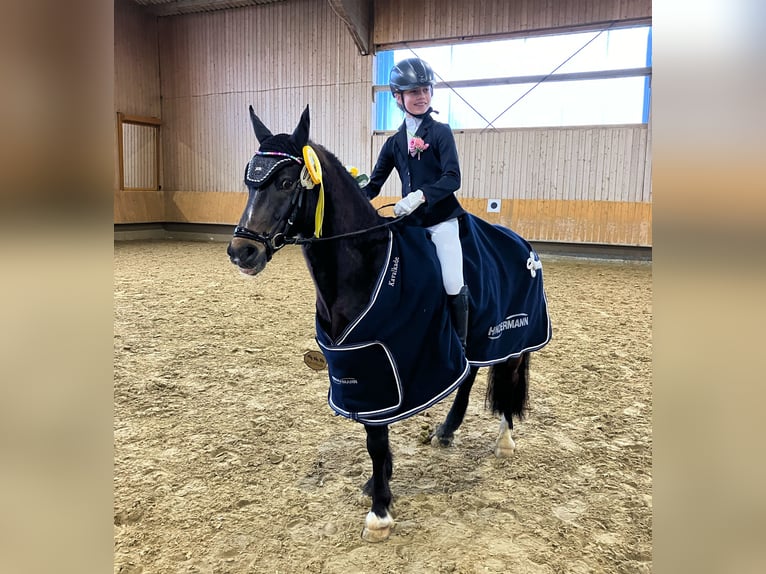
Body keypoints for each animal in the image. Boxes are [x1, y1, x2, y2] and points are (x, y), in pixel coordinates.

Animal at [227, 105, 551, 541]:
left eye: (285, 182)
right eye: (249, 182)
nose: (241, 251)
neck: (365, 264)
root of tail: (523, 244)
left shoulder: (385, 367)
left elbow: (376, 441)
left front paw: (380, 511)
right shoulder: (359, 365)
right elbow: (373, 436)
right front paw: (377, 484)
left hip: (513, 336)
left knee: (508, 377)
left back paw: (504, 440)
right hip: (474, 341)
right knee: (467, 375)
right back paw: (446, 431)